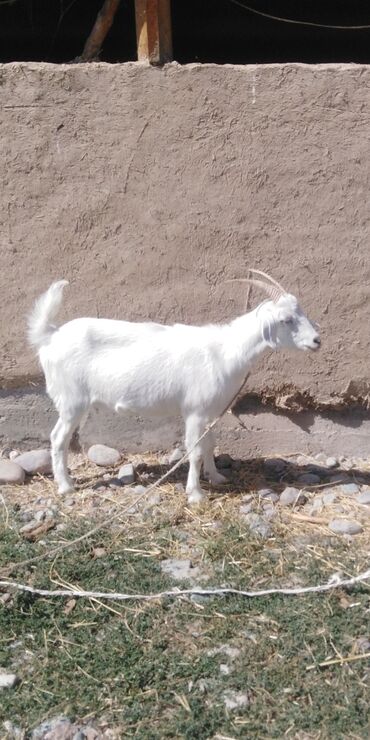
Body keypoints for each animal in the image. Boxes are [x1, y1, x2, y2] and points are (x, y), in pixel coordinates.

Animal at [28, 268, 320, 500]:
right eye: (285, 320)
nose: (317, 340)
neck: (225, 351)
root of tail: (50, 336)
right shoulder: (194, 411)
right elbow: (195, 450)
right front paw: (196, 494)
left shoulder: (209, 412)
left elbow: (210, 444)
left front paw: (216, 477)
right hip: (72, 400)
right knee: (58, 438)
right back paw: (66, 486)